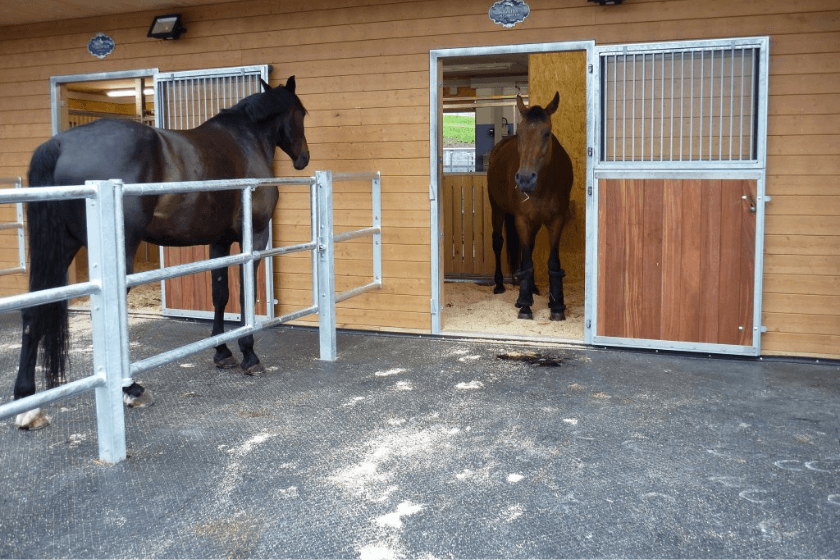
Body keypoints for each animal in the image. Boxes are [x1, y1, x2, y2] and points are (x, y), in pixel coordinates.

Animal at [13, 75, 310, 430]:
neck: (246, 139)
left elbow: (220, 294)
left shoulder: (220, 242)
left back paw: (27, 405)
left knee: (34, 311)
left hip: (61, 247)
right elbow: (245, 296)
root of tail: (59, 145)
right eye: (302, 113)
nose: (304, 158)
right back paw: (131, 389)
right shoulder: (254, 237)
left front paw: (222, 353)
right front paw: (249, 356)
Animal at [487, 92, 574, 321]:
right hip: (497, 210)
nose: (525, 179)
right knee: (498, 243)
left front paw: (557, 306)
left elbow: (552, 262)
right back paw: (500, 285)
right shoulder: (522, 220)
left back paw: (531, 289)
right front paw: (525, 306)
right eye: (520, 134)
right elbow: (526, 262)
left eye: (546, 133)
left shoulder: (556, 220)